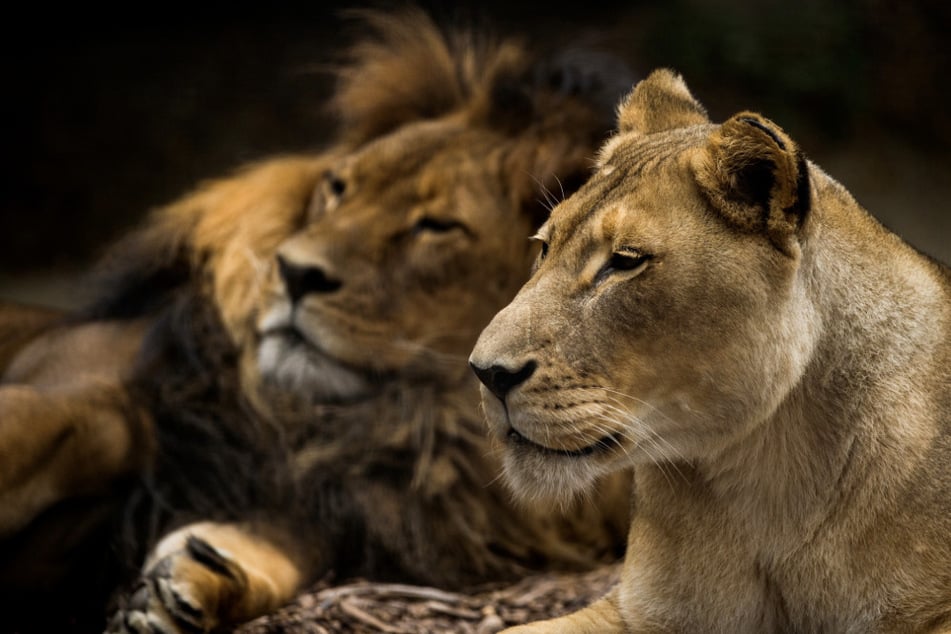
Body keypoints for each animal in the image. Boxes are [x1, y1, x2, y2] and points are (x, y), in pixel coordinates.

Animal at [1, 11, 640, 632]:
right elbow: (52, 424)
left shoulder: (354, 504)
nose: (292, 272)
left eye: (436, 226)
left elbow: (288, 544)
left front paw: (196, 578)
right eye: (338, 187)